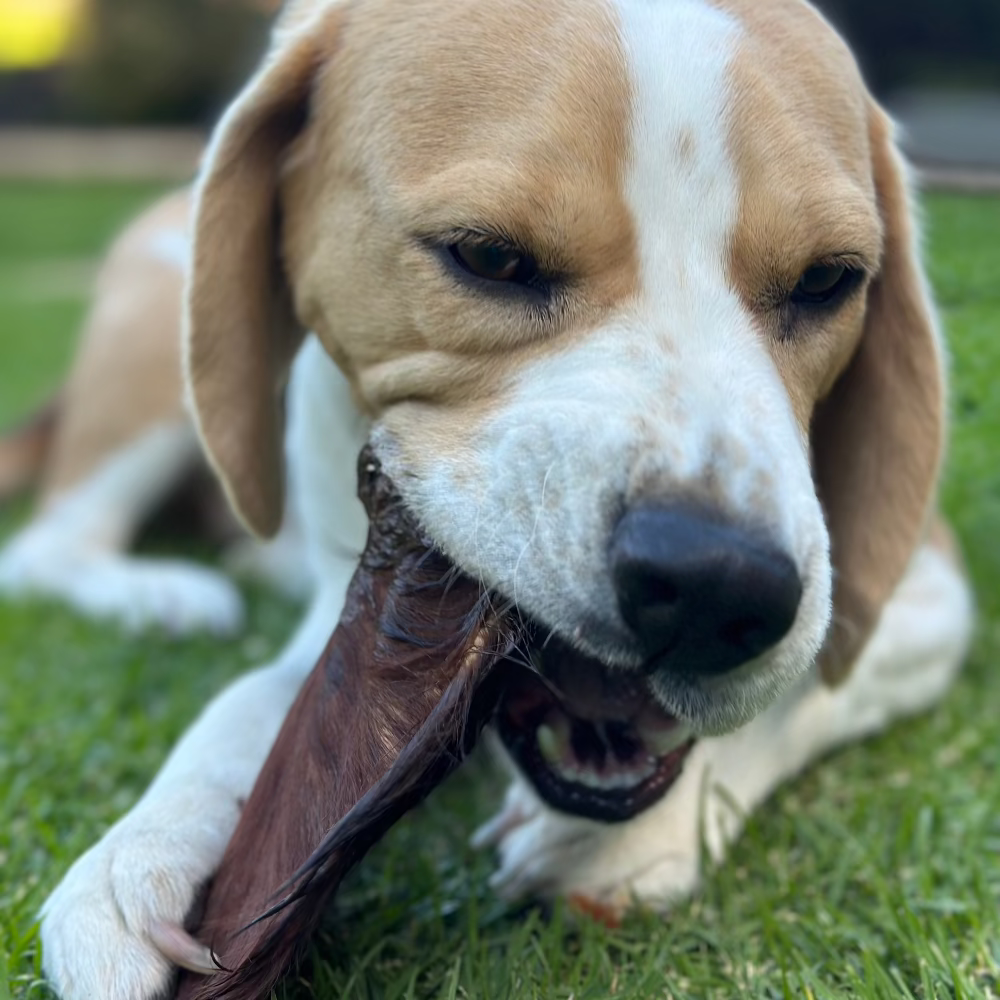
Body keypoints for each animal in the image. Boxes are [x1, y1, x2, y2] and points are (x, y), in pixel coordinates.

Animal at [41, 0, 976, 996]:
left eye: (828, 280)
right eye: (487, 256)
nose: (714, 584)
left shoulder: (927, 592)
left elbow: (807, 686)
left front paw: (643, 829)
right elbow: (252, 703)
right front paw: (141, 848)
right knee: (47, 544)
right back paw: (163, 594)